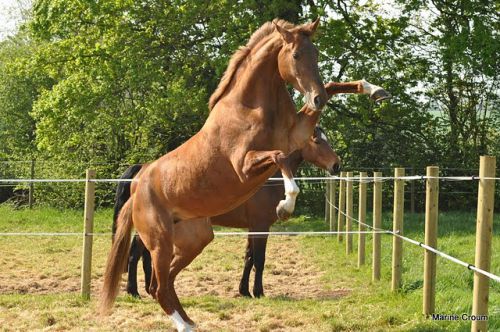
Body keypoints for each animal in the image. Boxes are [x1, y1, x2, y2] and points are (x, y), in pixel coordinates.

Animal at [101, 18, 388, 332]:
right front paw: (286, 206)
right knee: (157, 283)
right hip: (159, 239)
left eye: (317, 54)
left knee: (165, 280)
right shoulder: (246, 169)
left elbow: (334, 86)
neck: (250, 109)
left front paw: (375, 90)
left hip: (195, 238)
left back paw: (188, 320)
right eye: (296, 55)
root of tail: (137, 186)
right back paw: (175, 318)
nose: (317, 99)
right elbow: (278, 161)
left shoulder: (294, 134)